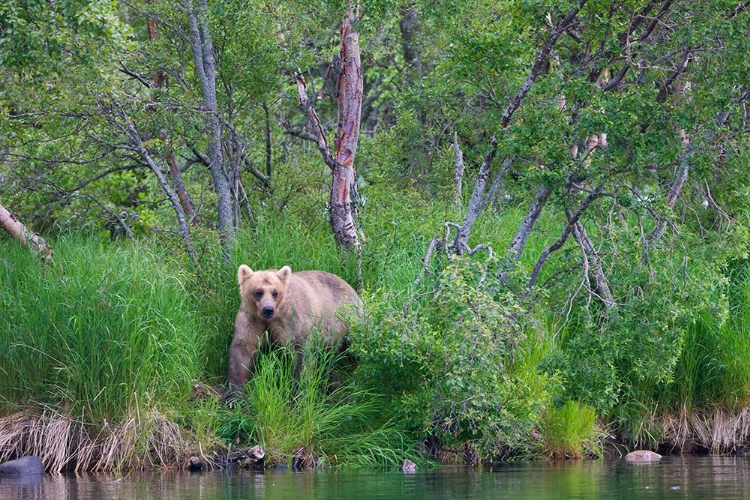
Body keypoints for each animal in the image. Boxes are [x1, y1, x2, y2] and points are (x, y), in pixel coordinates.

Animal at [225, 266, 362, 398]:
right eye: (258, 292)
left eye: (275, 292)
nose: (268, 309)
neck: (271, 318)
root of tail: (348, 285)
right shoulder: (252, 319)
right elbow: (243, 349)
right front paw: (233, 393)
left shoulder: (291, 321)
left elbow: (301, 352)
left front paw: (298, 390)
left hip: (347, 319)